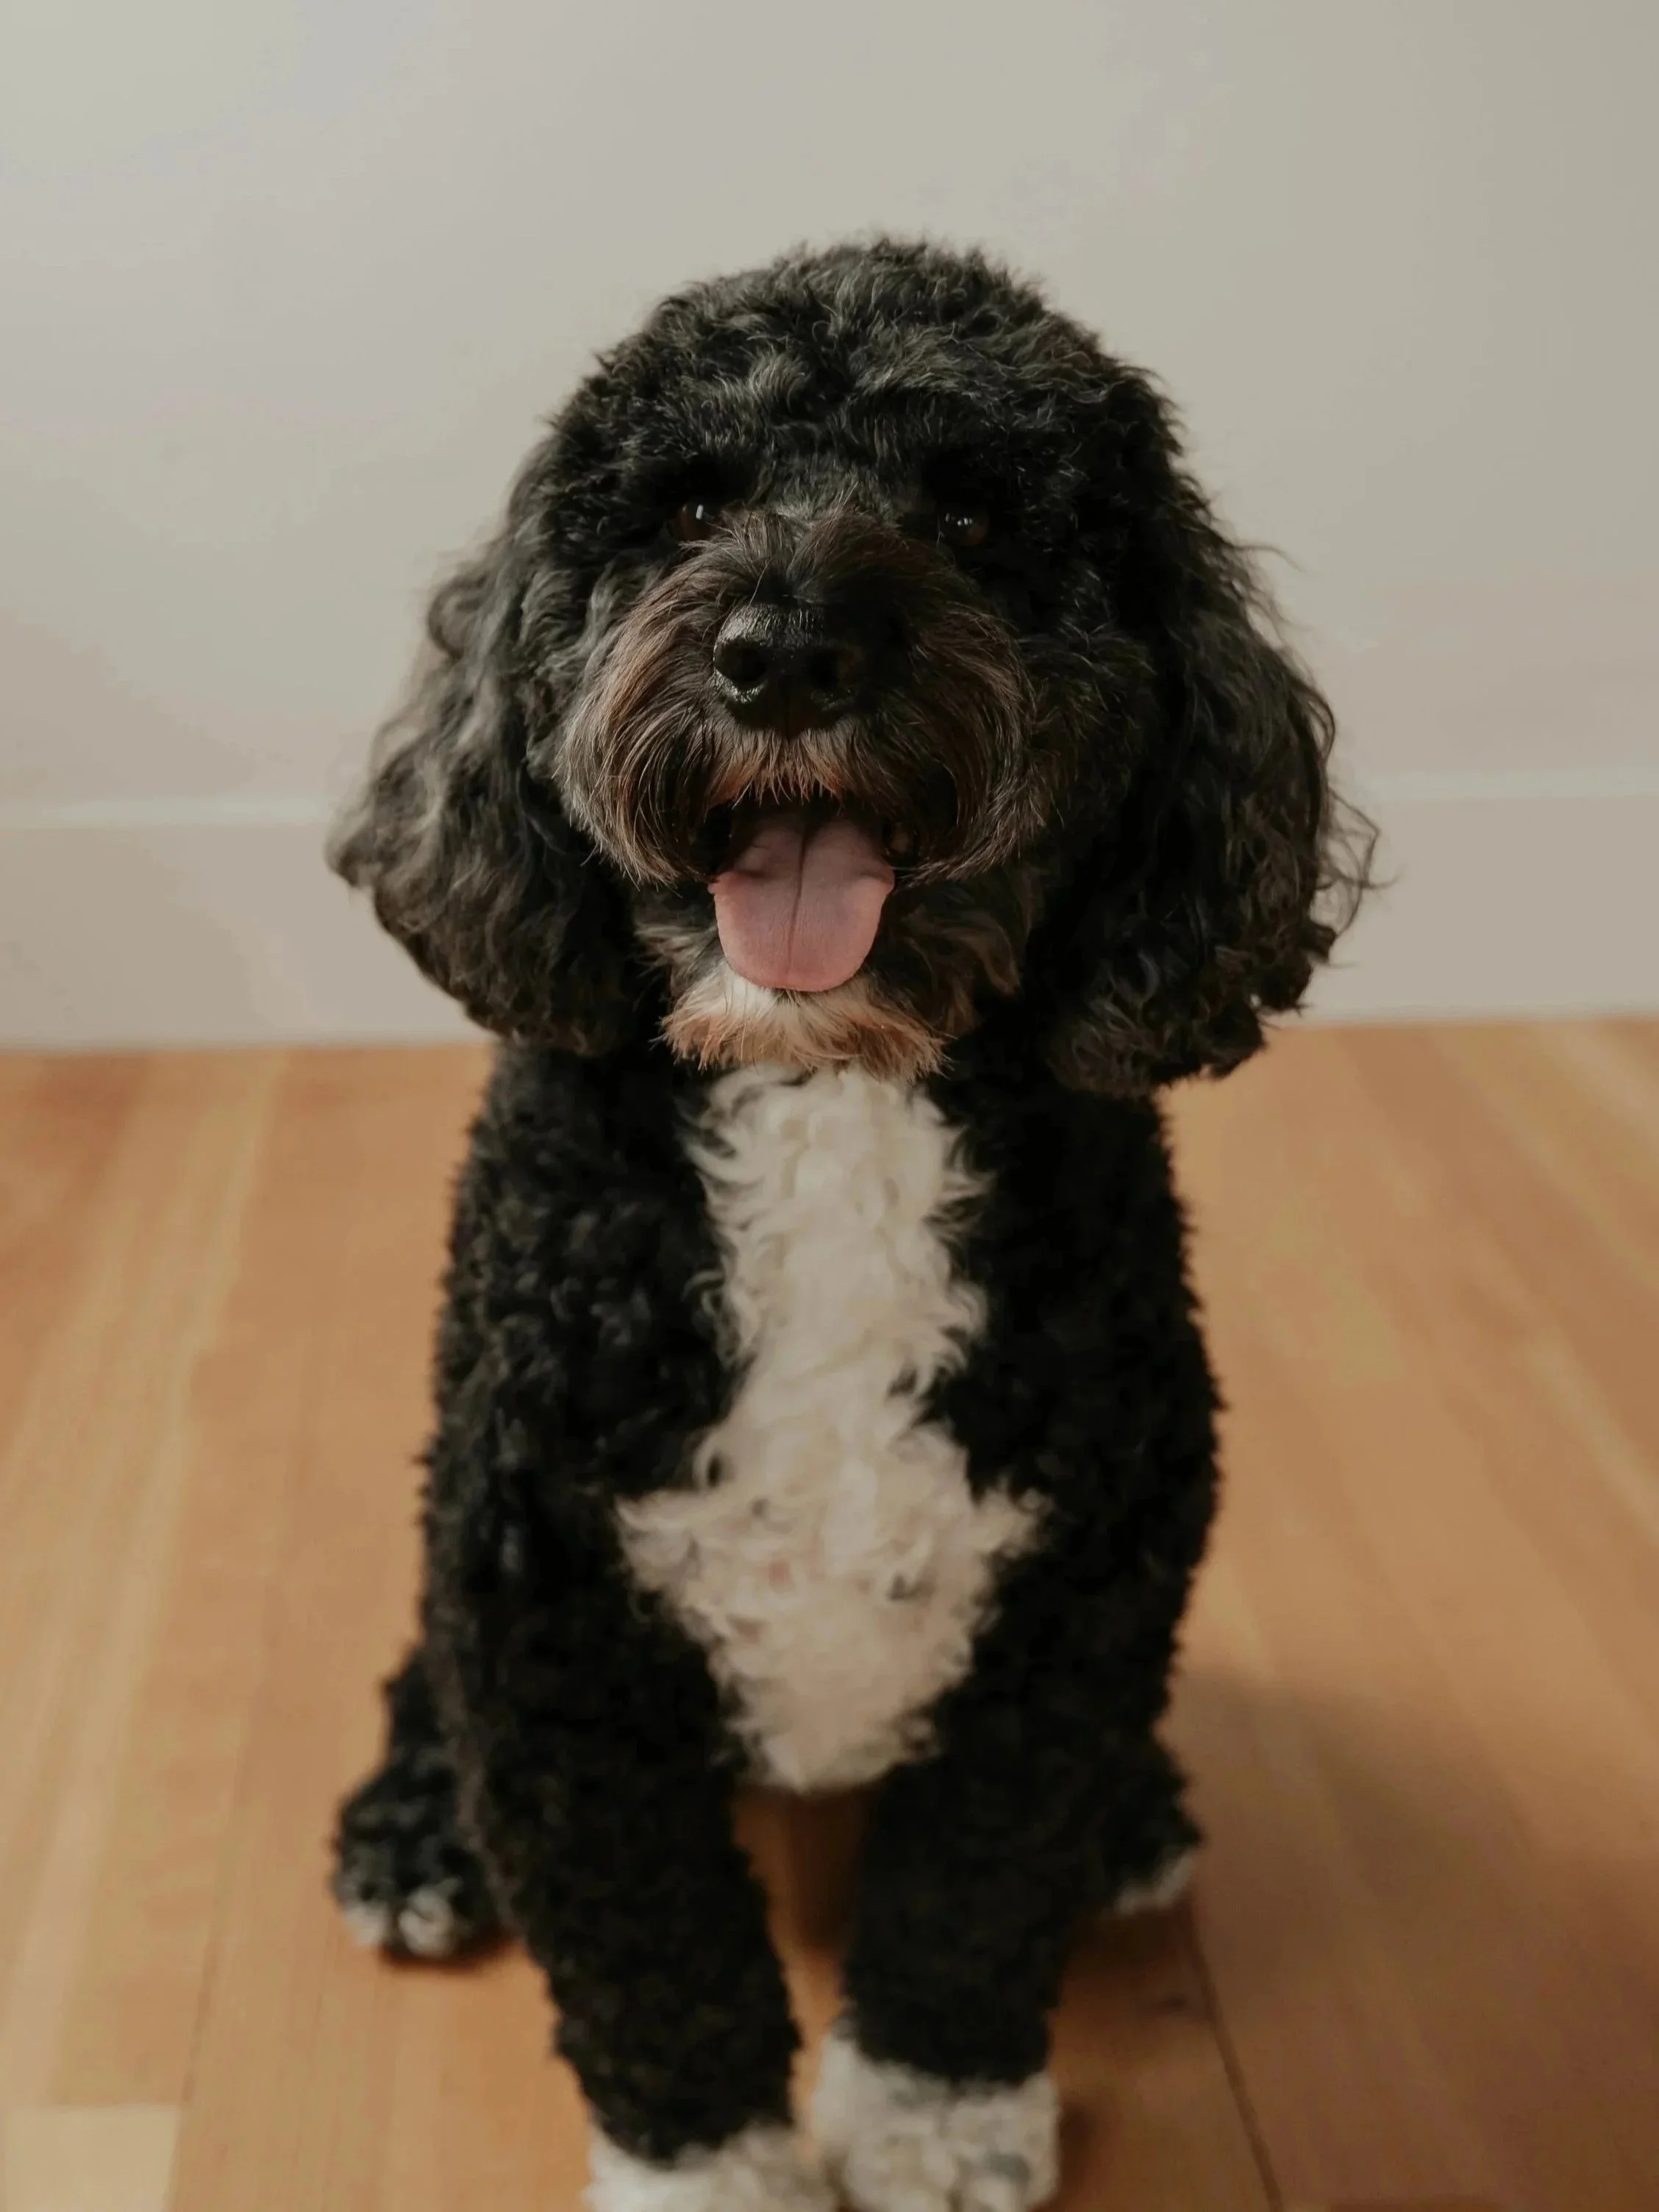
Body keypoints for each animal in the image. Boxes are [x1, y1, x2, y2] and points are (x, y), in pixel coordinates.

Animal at [328, 237, 1369, 2212]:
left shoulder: (1081, 1589)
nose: (786, 647)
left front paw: (938, 2121)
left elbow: (973, 1892)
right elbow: (654, 1949)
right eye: (684, 507)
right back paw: (414, 1835)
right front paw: (712, 2166)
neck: (832, 1096)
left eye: (974, 513)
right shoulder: (547, 1605)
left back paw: (1137, 1821)